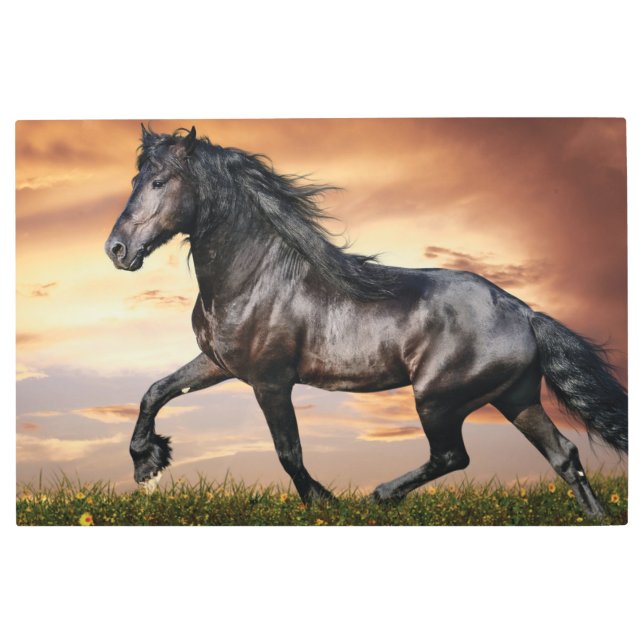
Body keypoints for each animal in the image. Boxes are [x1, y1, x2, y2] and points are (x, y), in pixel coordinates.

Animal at [105, 125, 627, 517]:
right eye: (134, 181)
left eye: (159, 182)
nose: (116, 250)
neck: (256, 277)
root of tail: (524, 312)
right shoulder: (219, 364)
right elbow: (155, 391)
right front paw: (147, 463)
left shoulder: (270, 381)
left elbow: (288, 452)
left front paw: (325, 502)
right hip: (514, 397)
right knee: (564, 456)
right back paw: (594, 517)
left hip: (438, 399)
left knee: (452, 456)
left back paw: (379, 496)